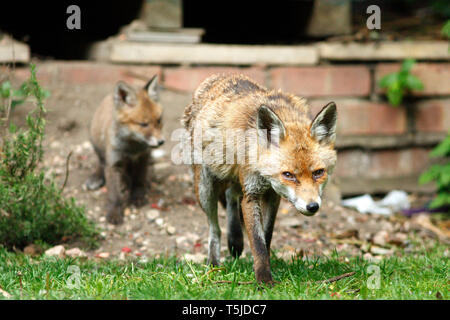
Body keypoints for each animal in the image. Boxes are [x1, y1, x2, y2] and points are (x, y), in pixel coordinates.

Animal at [85, 75, 164, 225]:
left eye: (158, 120)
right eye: (143, 124)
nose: (161, 141)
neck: (132, 148)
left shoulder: (143, 157)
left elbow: (139, 180)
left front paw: (137, 197)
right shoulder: (113, 163)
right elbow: (114, 194)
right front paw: (114, 212)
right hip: (97, 144)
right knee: (101, 163)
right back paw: (99, 177)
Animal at [181, 74, 336, 284]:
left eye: (318, 172)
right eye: (288, 175)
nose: (312, 206)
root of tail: (218, 76)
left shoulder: (272, 196)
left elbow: (266, 236)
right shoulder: (252, 194)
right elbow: (257, 241)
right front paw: (264, 280)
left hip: (234, 180)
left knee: (230, 195)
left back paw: (235, 239)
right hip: (205, 188)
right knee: (215, 228)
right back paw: (213, 263)